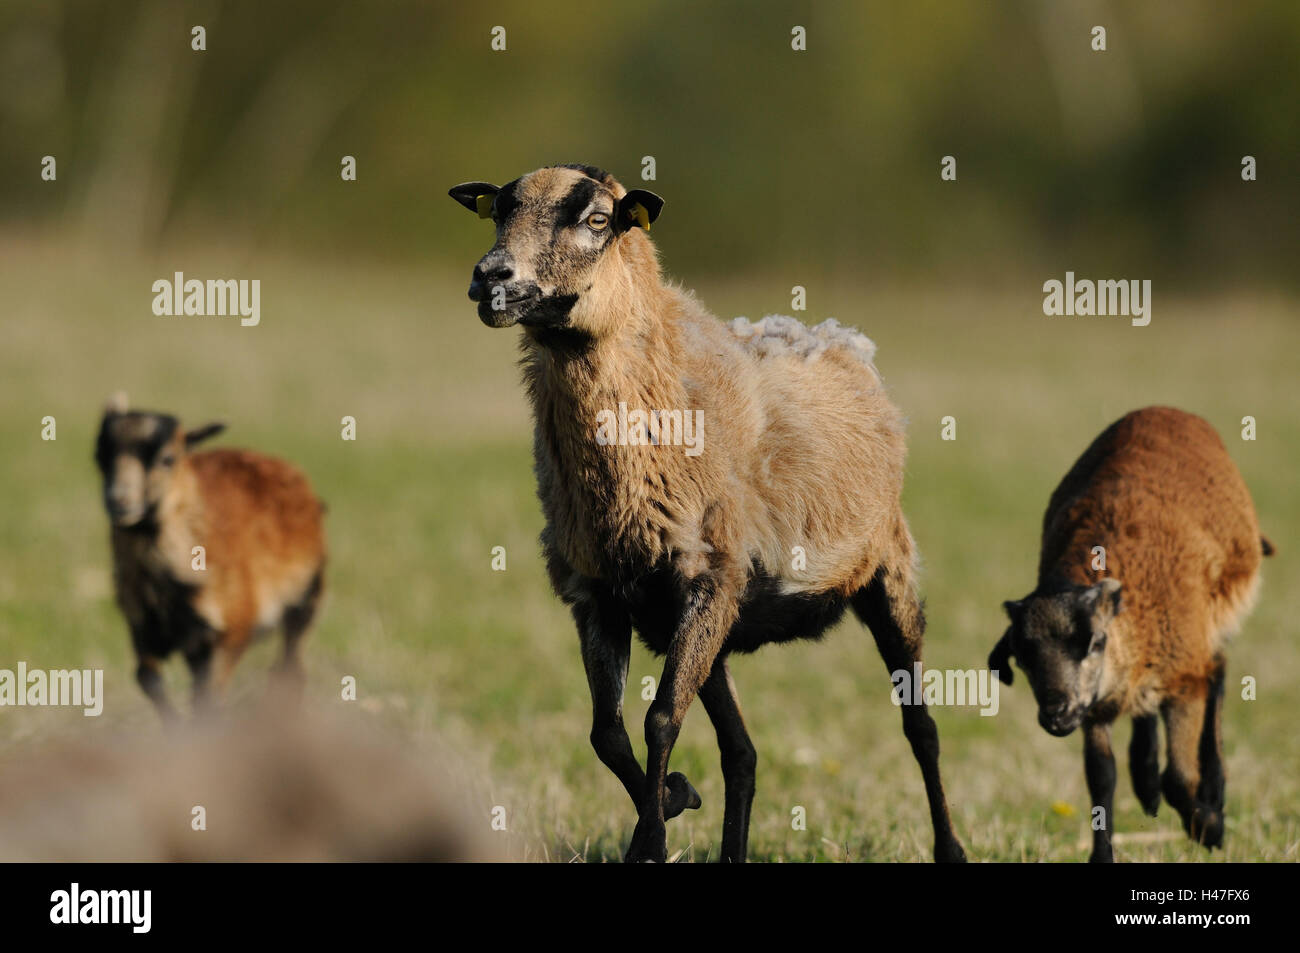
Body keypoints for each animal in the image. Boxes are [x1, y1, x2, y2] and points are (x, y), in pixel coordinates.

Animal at [94, 393, 326, 720]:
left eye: (168, 458)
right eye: (99, 456)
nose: (119, 501)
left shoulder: (230, 634)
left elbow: (209, 698)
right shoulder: (143, 626)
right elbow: (148, 678)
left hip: (305, 604)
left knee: (290, 670)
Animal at [449, 164, 966, 863]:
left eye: (597, 220)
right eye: (499, 210)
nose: (491, 277)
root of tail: (833, 336)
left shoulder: (706, 577)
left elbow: (660, 719)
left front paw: (651, 837)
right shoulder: (600, 594)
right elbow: (607, 733)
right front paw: (673, 798)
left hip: (886, 571)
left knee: (922, 726)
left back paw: (952, 848)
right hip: (712, 620)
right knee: (742, 751)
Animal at [987, 406, 1273, 862]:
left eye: (1094, 643)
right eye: (1023, 657)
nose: (1055, 715)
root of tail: (1164, 409)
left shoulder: (1183, 679)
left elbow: (1180, 776)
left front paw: (1210, 828)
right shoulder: (1094, 708)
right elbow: (1101, 779)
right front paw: (1103, 854)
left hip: (1213, 619)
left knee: (1219, 674)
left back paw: (1211, 790)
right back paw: (1147, 783)